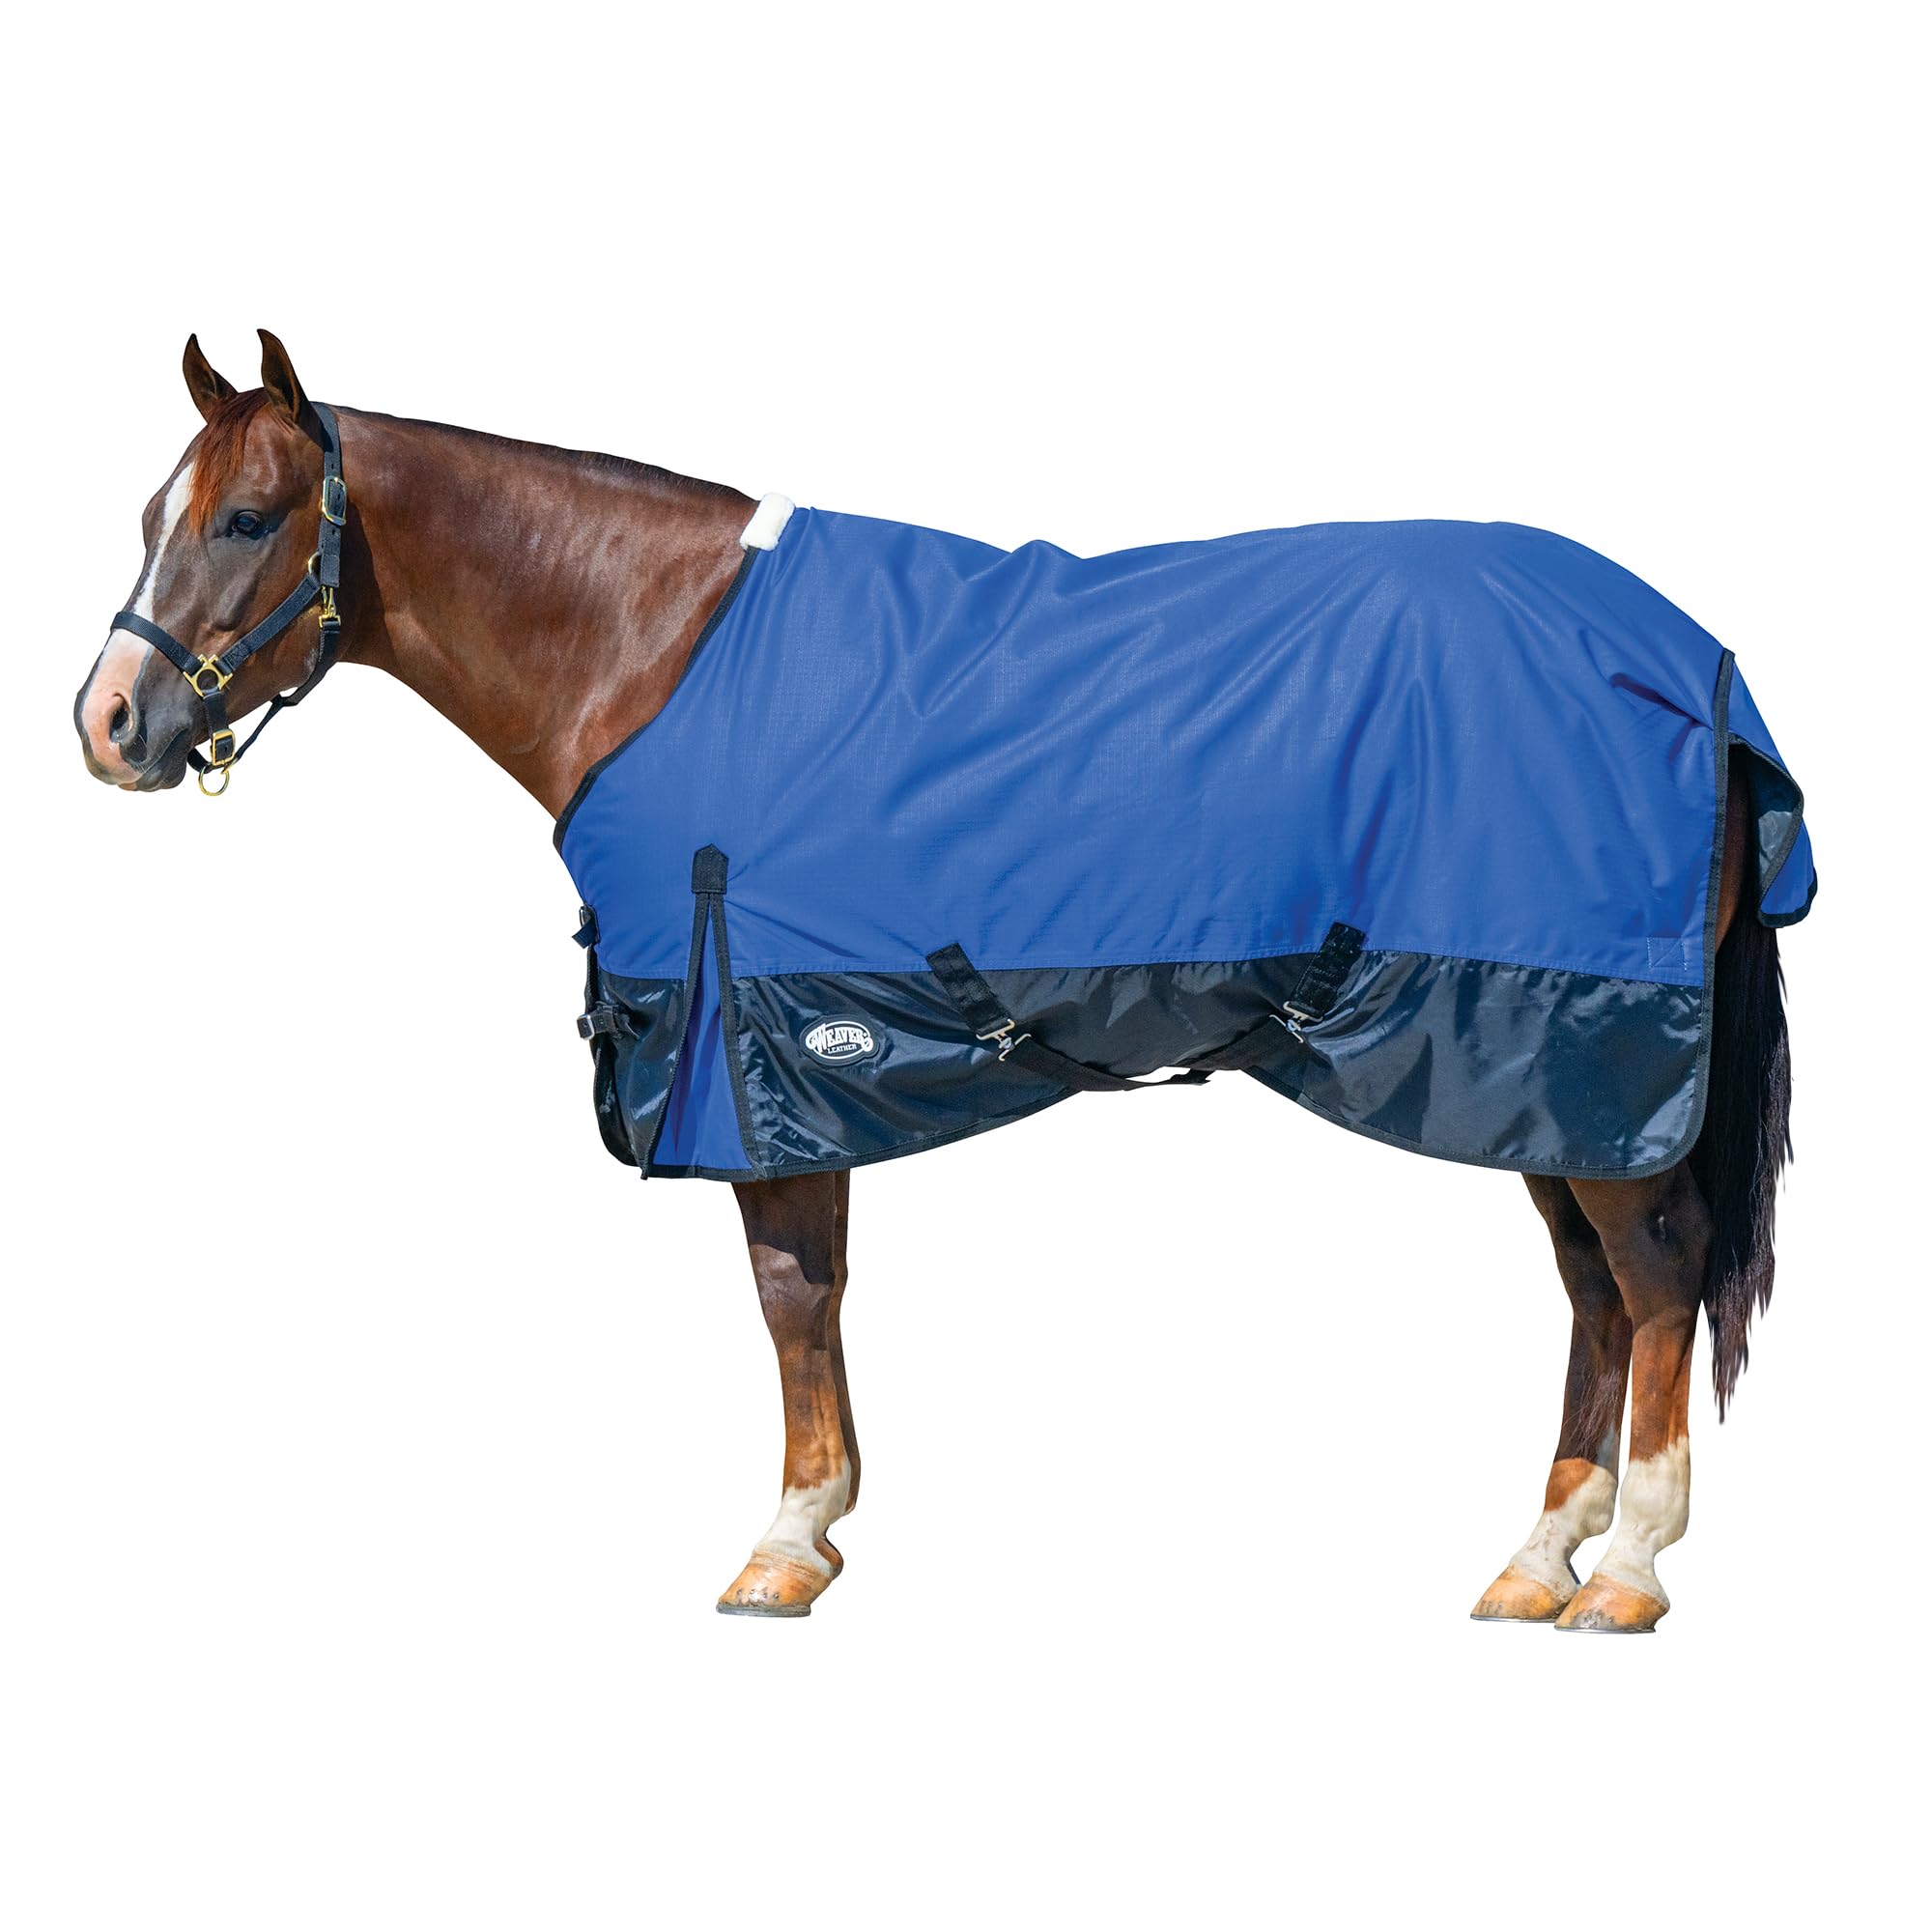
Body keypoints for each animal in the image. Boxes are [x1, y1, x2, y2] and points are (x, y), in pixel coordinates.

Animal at [75, 332, 1802, 1631]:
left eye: (246, 520)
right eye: (154, 508)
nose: (107, 722)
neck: (650, 649)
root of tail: (1689, 664)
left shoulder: (748, 1050)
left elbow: (789, 1291)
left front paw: (785, 1545)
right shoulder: (796, 1055)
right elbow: (818, 1292)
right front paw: (821, 1524)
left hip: (1581, 1051)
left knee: (1652, 1275)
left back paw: (1628, 1570)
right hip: (1527, 1072)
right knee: (1592, 1288)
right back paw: (1537, 1560)